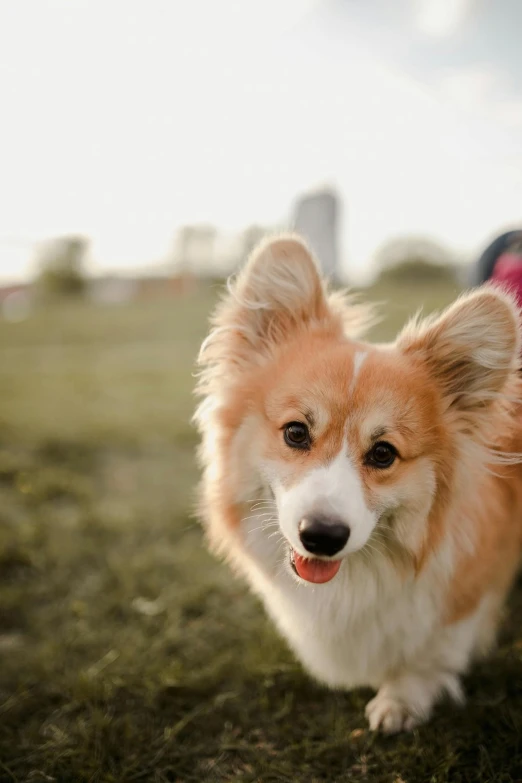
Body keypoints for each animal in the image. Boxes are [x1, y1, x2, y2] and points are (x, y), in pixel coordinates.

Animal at [193, 234, 520, 736]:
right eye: (295, 432)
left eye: (383, 454)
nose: (322, 537)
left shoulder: (467, 594)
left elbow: (435, 652)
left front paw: (402, 699)